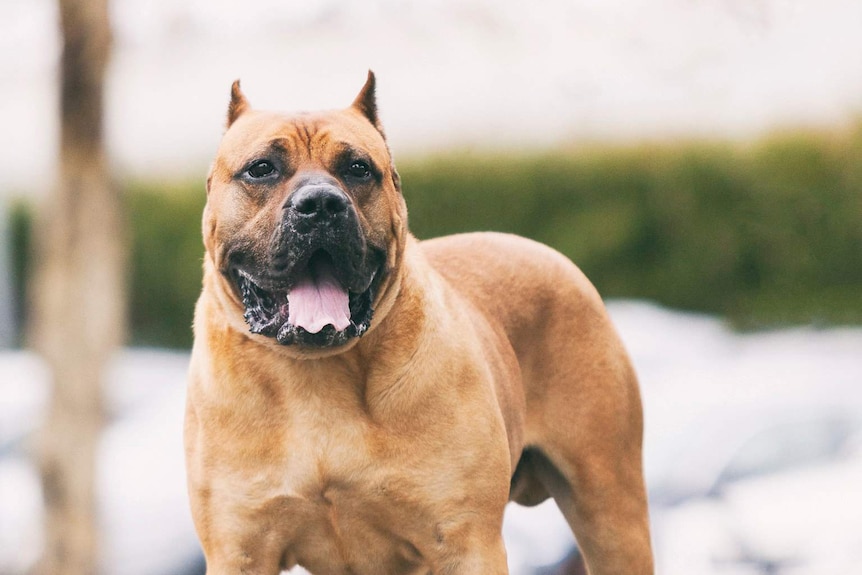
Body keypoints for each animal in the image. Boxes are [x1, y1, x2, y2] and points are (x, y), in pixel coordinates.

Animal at [186, 73, 652, 575]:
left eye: (358, 168)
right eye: (261, 169)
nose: (321, 204)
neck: (317, 372)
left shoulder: (466, 543)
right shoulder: (241, 550)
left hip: (610, 510)